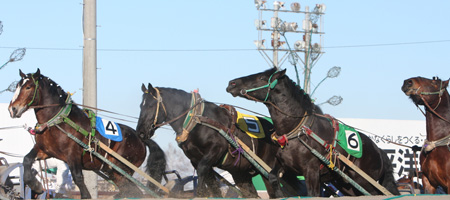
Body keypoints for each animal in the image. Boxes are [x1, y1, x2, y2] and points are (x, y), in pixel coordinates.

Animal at [7, 69, 167, 198]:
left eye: (28, 87)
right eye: (17, 86)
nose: (12, 109)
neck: (58, 122)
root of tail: (140, 138)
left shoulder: (73, 156)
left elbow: (78, 180)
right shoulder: (44, 151)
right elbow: (27, 160)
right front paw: (36, 185)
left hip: (122, 169)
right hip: (114, 172)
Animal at [134, 83, 302, 198]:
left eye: (150, 105)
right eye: (140, 105)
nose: (140, 132)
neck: (198, 121)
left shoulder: (214, 151)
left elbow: (203, 171)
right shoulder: (196, 159)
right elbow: (211, 182)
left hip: (269, 169)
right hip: (241, 174)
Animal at [227, 67, 400, 197]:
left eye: (262, 77)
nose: (232, 83)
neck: (297, 132)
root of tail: (379, 151)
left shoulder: (311, 171)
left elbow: (313, 194)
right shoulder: (283, 165)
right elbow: (273, 177)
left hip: (364, 180)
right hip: (346, 184)